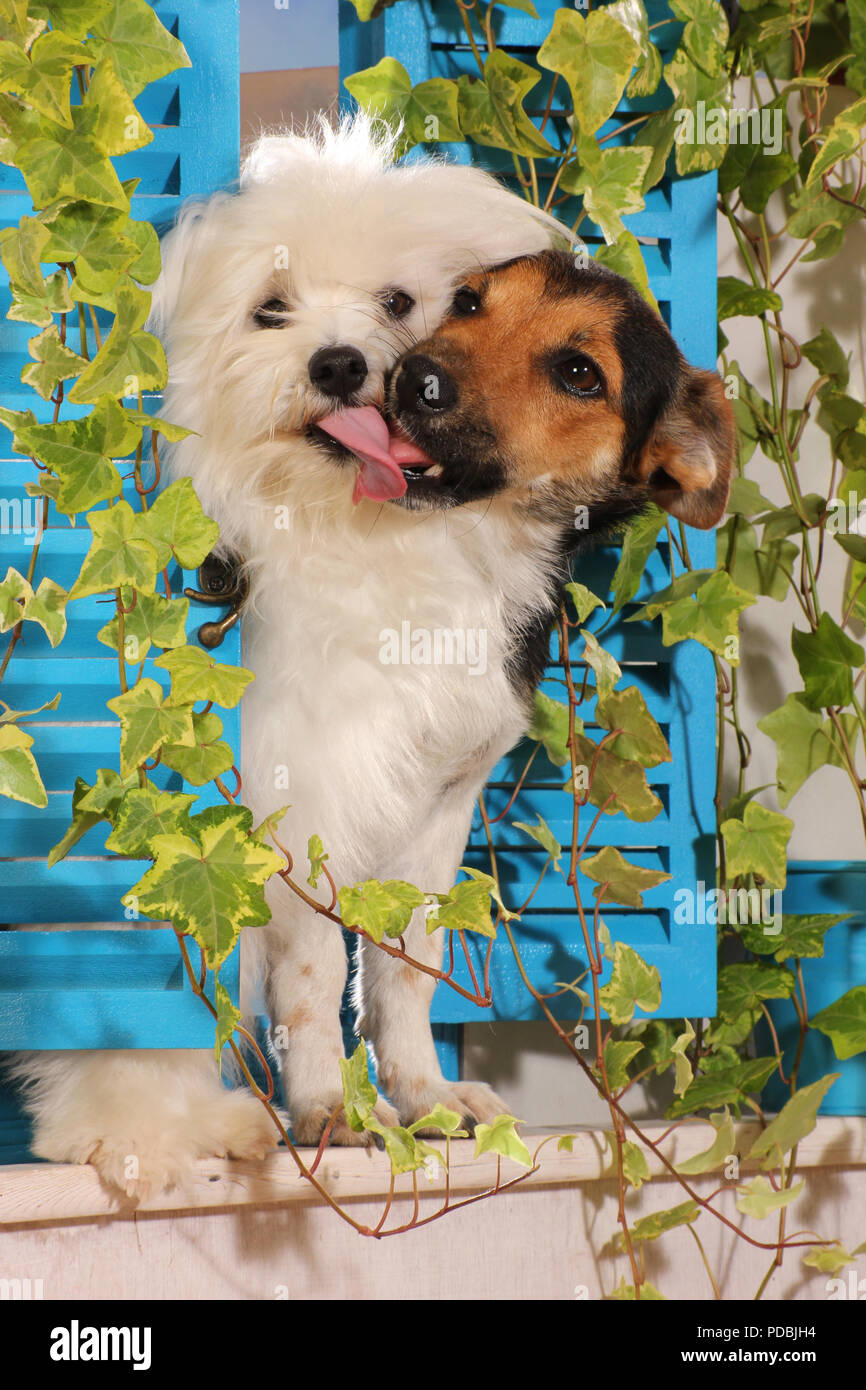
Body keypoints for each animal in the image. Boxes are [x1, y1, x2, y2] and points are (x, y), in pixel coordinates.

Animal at [11, 119, 556, 1195]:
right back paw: (172, 1125)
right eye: (270, 308)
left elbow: (403, 969)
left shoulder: (433, 815)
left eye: (398, 302)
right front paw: (322, 1108)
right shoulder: (284, 811)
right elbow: (306, 979)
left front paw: (422, 1099)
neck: (356, 532)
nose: (341, 364)